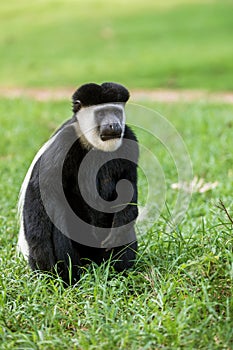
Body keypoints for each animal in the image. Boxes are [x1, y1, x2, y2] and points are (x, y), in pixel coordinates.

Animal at [18, 82, 138, 284]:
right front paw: (43, 257)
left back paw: (119, 274)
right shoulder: (62, 144)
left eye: (115, 111)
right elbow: (39, 191)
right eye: (101, 113)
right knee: (57, 211)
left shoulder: (129, 139)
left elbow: (129, 189)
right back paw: (69, 279)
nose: (113, 124)